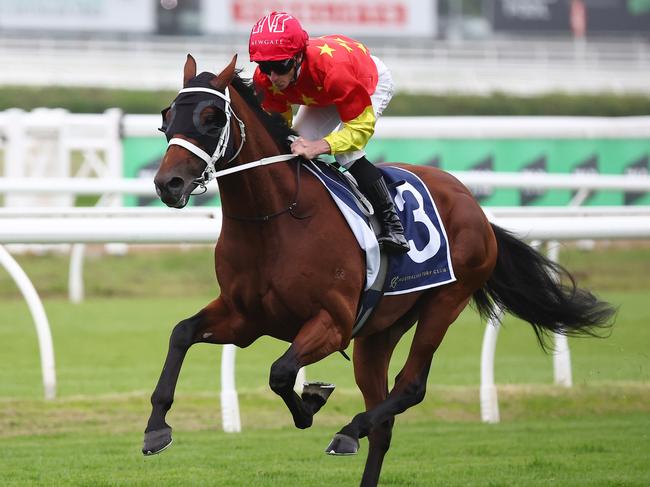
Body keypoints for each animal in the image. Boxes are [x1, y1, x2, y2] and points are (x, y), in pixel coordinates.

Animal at [143, 54, 612, 487]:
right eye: (167, 117)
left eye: (211, 118)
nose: (168, 184)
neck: (275, 219)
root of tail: (472, 203)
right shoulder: (245, 319)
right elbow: (181, 333)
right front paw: (156, 429)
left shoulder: (333, 323)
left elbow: (280, 373)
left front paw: (311, 403)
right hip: (379, 331)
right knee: (383, 423)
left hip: (445, 300)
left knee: (410, 387)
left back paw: (349, 431)